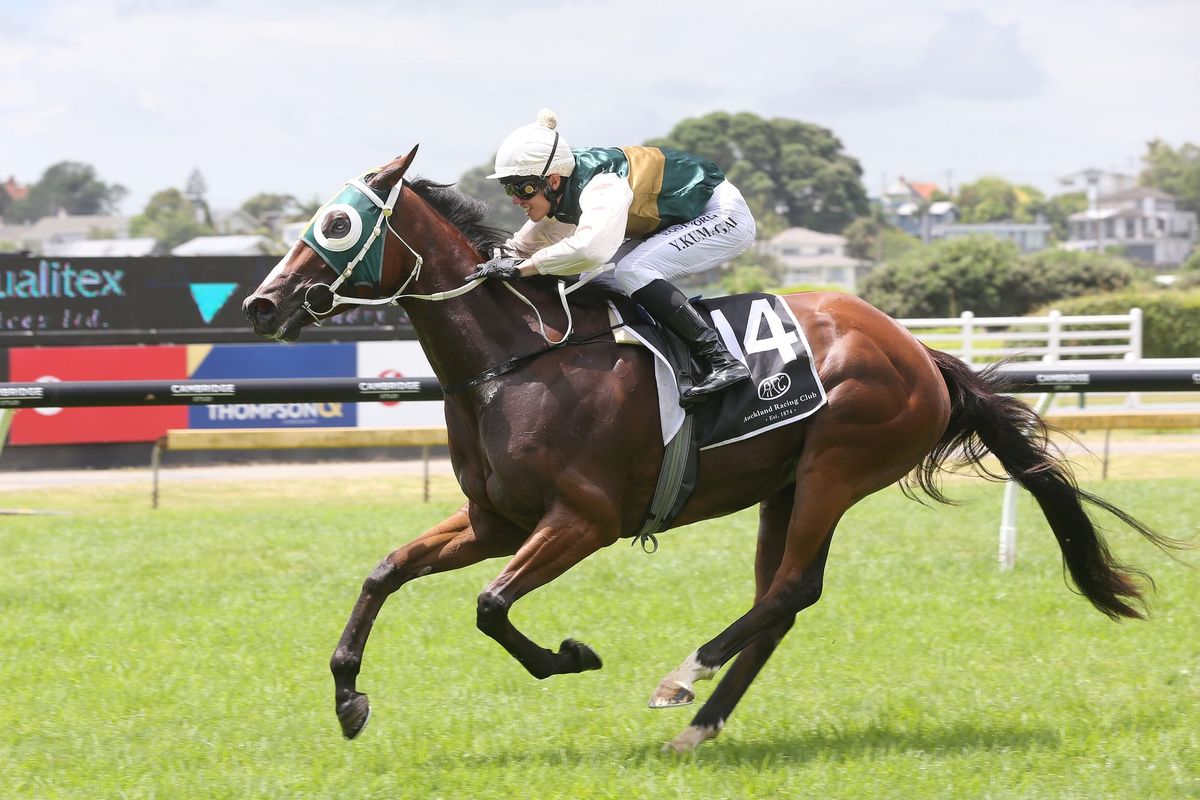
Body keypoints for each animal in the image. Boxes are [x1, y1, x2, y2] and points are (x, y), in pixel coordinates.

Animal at [242, 148, 1178, 752]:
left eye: (336, 222)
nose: (261, 303)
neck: (517, 362)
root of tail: (921, 353)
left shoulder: (582, 521)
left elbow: (490, 606)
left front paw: (570, 657)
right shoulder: (496, 520)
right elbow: (386, 571)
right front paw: (348, 696)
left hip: (838, 466)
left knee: (790, 589)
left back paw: (681, 681)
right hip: (786, 486)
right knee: (782, 599)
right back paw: (700, 724)